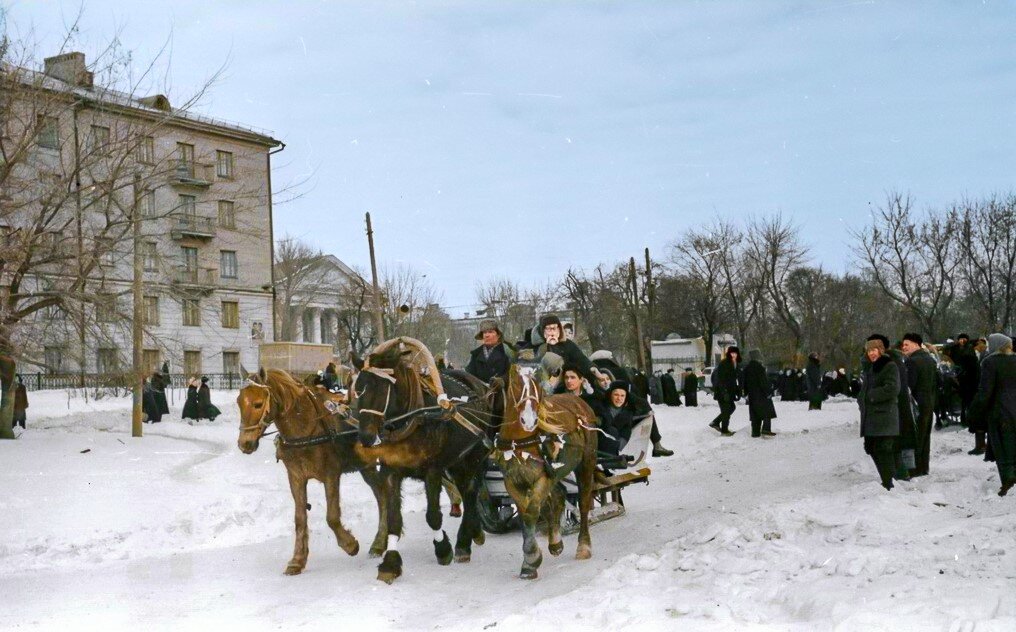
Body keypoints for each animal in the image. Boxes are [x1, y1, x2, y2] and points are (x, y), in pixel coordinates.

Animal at [234, 369, 388, 577]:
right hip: (366, 467)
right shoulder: (296, 477)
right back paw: (380, 543)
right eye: (239, 402)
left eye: (258, 404)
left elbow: (332, 517)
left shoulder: (331, 475)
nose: (244, 444)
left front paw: (349, 544)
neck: (305, 429)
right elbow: (300, 518)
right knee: (381, 494)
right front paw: (298, 559)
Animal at [351, 343, 493, 585]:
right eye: (359, 389)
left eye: (383, 389)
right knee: (467, 491)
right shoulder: (391, 470)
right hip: (456, 461)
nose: (367, 437)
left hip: (473, 455)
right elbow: (393, 519)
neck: (412, 419)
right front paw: (390, 564)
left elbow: (433, 516)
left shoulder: (433, 470)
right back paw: (474, 532)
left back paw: (464, 542)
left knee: (471, 492)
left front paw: (443, 548)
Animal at [489, 363, 597, 581]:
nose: (529, 420)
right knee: (558, 497)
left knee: (582, 502)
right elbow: (526, 513)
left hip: (585, 463)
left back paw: (583, 545)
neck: (519, 443)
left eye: (536, 386)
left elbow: (532, 512)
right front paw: (531, 560)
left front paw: (531, 559)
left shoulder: (541, 477)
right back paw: (555, 541)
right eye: (515, 385)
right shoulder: (512, 482)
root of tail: (579, 402)